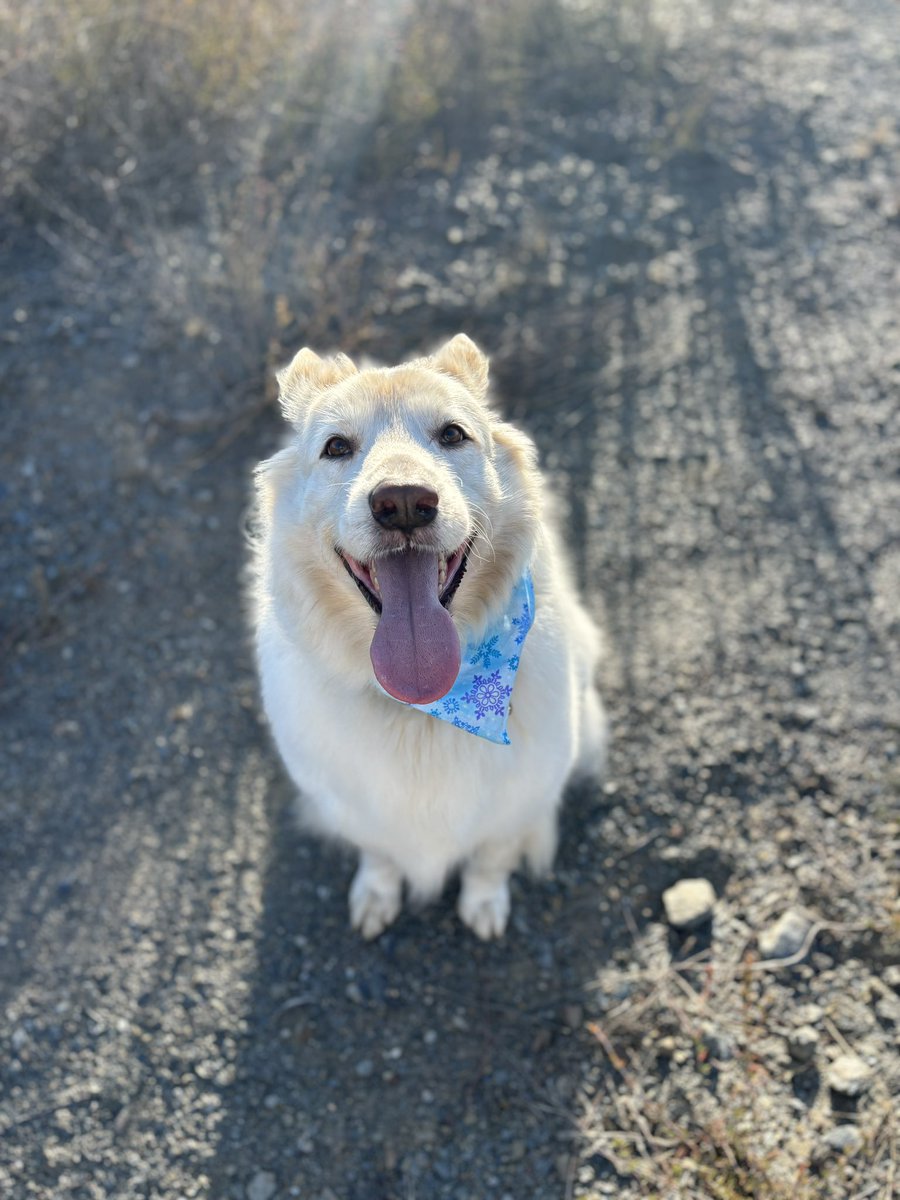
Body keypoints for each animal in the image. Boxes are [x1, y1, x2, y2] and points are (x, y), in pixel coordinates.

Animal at [250, 336, 609, 936]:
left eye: (452, 434)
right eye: (336, 446)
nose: (401, 501)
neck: (424, 708)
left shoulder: (519, 799)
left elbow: (492, 858)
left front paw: (484, 905)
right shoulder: (355, 806)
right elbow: (379, 855)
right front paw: (376, 896)